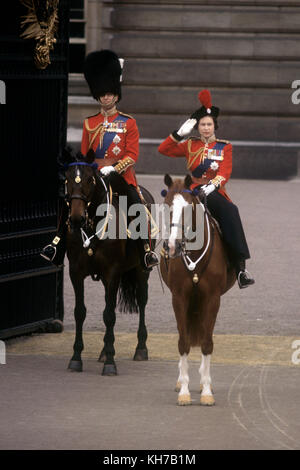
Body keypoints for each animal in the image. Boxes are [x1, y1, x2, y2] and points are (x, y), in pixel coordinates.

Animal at [63, 149, 152, 376]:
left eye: (90, 179)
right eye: (67, 179)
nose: (76, 219)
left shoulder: (112, 272)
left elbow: (110, 315)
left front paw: (111, 363)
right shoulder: (76, 272)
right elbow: (80, 312)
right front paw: (76, 358)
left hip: (141, 270)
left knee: (141, 301)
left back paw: (140, 348)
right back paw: (103, 351)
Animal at [161, 174, 236, 406]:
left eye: (187, 208)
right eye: (167, 205)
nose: (172, 246)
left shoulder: (212, 298)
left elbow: (206, 342)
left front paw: (207, 392)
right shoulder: (179, 297)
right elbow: (183, 342)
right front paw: (185, 391)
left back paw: (204, 382)